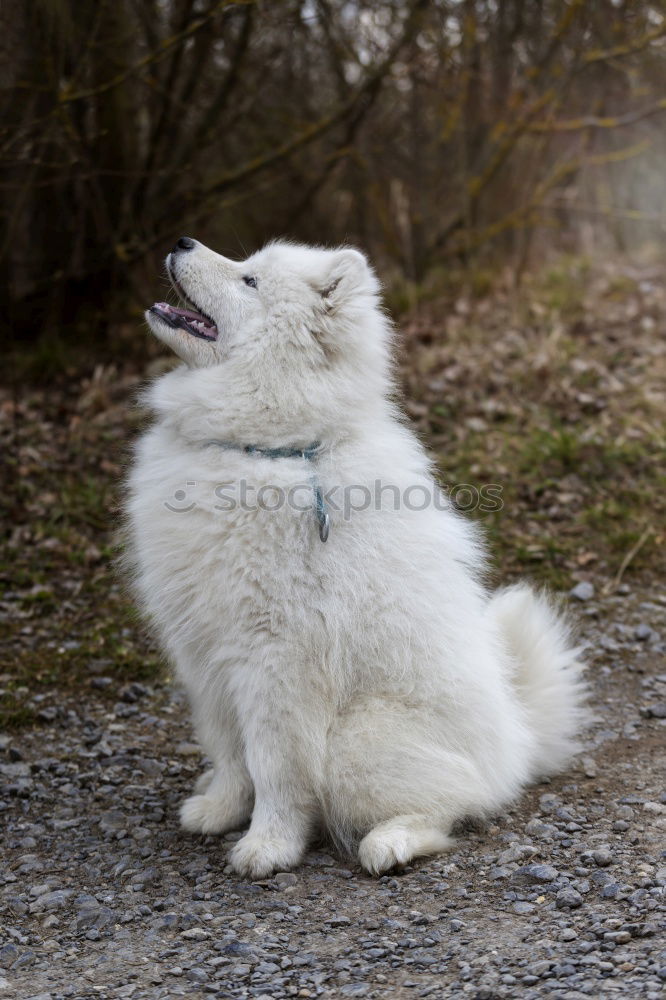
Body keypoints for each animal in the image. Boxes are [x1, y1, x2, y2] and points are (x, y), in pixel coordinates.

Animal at [123, 238, 580, 880]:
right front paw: (219, 808)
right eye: (247, 263)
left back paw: (391, 841)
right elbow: (229, 749)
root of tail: (518, 743)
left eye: (250, 281)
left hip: (359, 740)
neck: (269, 448)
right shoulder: (205, 657)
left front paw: (268, 845)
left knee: (461, 802)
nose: (182, 241)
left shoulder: (276, 663)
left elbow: (273, 766)